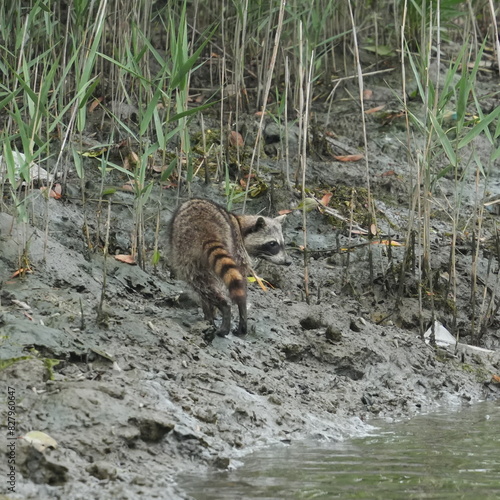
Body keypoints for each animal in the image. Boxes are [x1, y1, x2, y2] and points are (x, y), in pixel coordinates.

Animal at [168, 198, 292, 340]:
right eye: (273, 244)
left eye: (283, 244)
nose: (288, 262)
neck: (240, 224)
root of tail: (204, 228)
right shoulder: (238, 248)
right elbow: (240, 281)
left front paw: (210, 311)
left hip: (184, 250)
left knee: (199, 281)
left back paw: (212, 313)